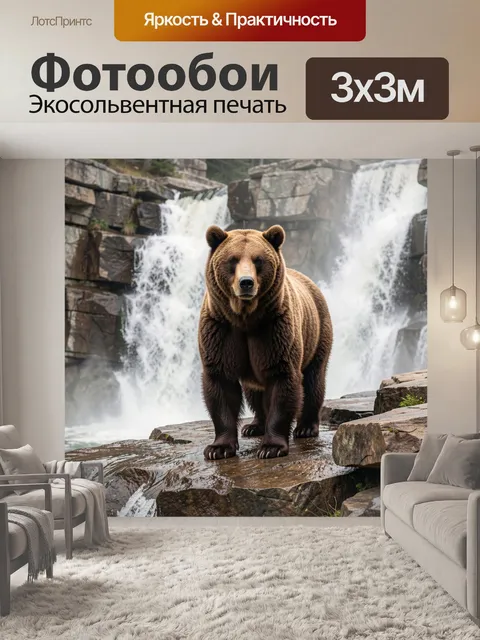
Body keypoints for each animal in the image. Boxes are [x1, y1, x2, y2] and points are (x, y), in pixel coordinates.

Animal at [198, 224, 333, 460]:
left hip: (317, 333)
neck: (244, 318)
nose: (246, 282)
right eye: (232, 260)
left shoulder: (275, 331)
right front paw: (218, 448)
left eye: (258, 260)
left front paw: (272, 447)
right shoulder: (220, 331)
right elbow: (220, 385)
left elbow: (282, 382)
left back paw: (306, 427)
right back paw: (253, 426)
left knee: (314, 381)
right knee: (254, 392)